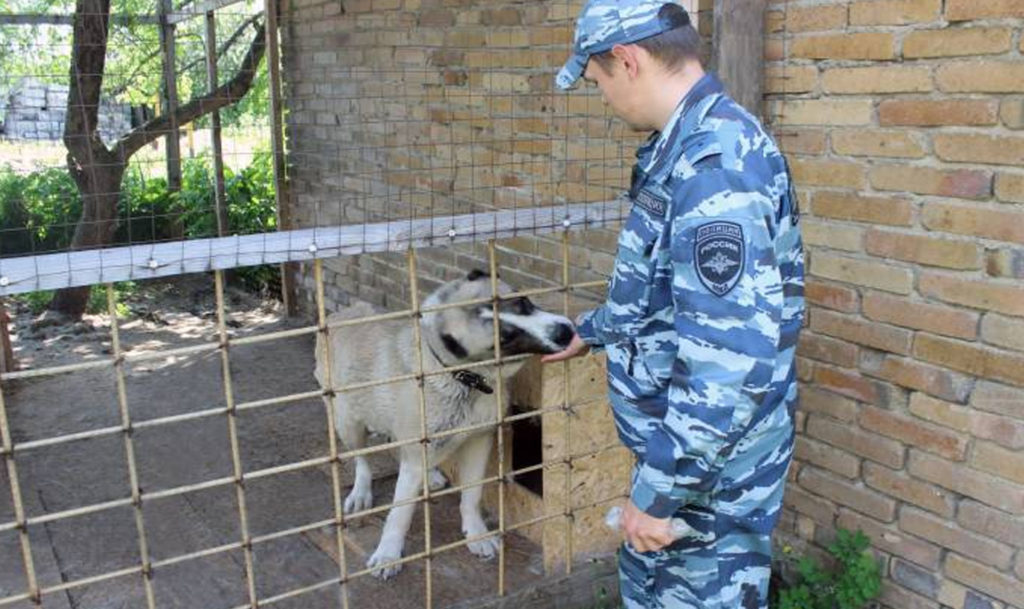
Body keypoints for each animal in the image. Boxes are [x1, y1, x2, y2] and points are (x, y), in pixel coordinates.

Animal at [317, 270, 577, 577]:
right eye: (505, 337)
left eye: (523, 302)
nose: (565, 332)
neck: (461, 376)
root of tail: (342, 313)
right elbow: (399, 513)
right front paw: (388, 553)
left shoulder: (479, 440)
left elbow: (472, 495)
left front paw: (476, 534)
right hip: (349, 424)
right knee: (363, 459)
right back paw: (361, 491)